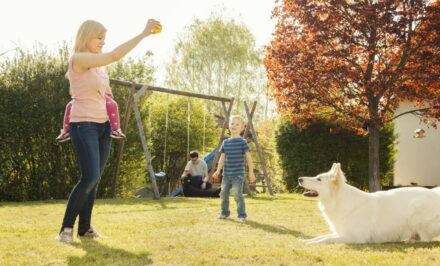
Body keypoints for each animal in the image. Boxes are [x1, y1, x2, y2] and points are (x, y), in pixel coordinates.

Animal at [298, 161, 440, 244]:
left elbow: (327, 239)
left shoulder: (354, 237)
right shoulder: (340, 233)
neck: (340, 200)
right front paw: (305, 240)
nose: (299, 178)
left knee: (426, 239)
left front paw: (310, 244)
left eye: (319, 179)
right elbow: (321, 236)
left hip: (417, 213)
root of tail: (435, 193)